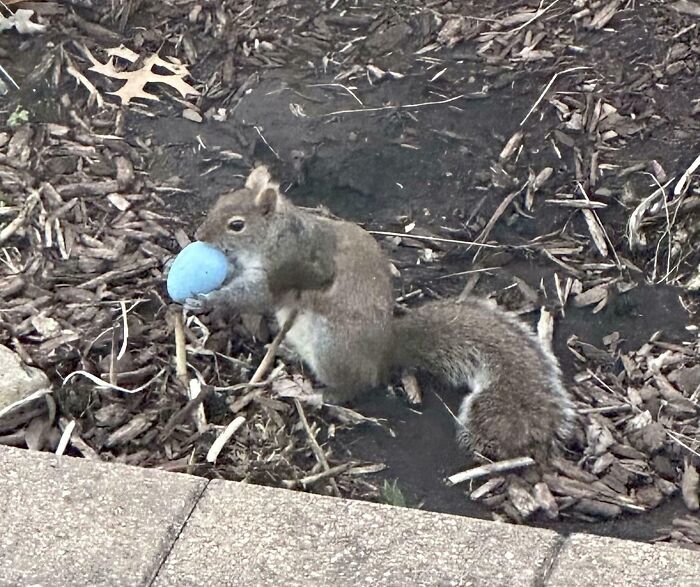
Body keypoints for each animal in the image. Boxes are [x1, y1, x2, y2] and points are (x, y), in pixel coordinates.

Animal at [186, 165, 578, 462]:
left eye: (237, 224)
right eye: (220, 201)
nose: (198, 235)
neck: (276, 234)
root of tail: (386, 351)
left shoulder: (284, 270)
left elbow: (253, 296)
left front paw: (206, 299)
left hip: (332, 347)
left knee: (352, 387)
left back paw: (310, 392)